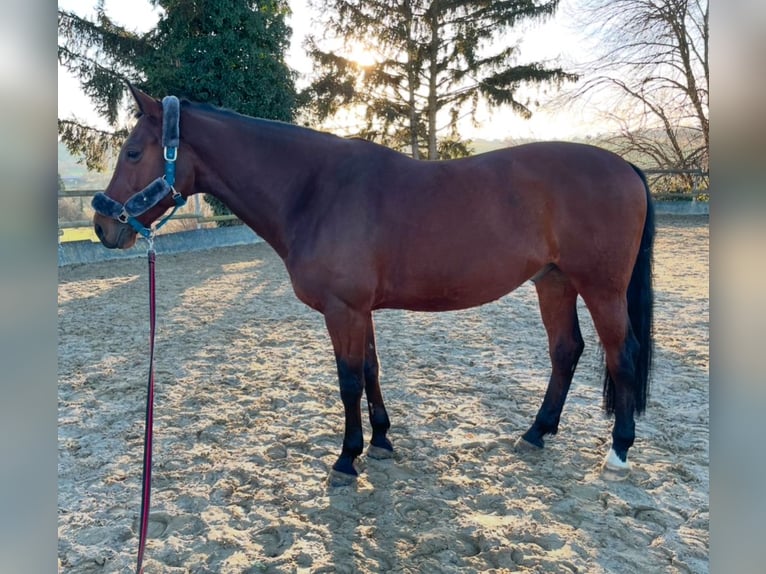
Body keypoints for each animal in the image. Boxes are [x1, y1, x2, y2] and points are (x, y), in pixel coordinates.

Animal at [91, 88, 656, 486]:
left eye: (133, 151)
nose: (102, 225)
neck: (315, 190)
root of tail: (625, 166)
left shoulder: (342, 310)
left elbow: (347, 381)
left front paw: (346, 458)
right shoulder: (359, 310)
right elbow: (369, 370)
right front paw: (381, 440)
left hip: (601, 289)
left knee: (620, 354)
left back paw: (618, 450)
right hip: (554, 282)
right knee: (566, 350)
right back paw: (537, 433)